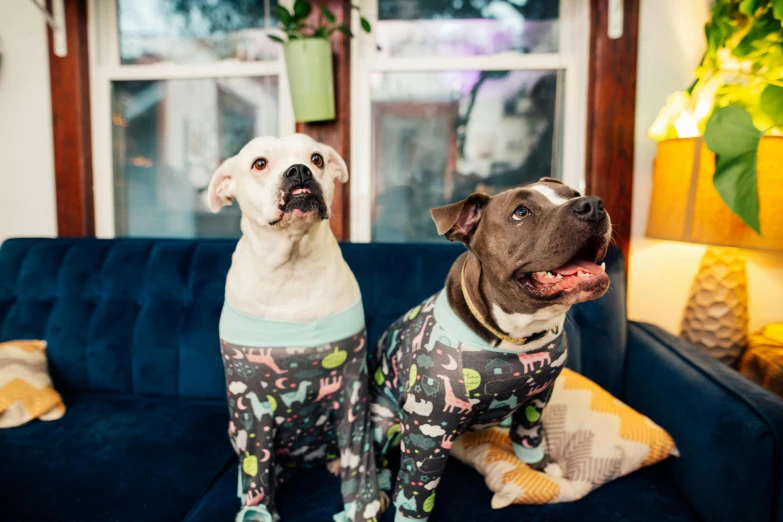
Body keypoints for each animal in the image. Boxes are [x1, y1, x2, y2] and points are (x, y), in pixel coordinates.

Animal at [208, 134, 380, 520]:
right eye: (259, 163)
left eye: (317, 158)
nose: (299, 170)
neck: (293, 266)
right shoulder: (250, 405)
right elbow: (256, 472)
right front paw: (258, 508)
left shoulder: (352, 389)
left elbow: (358, 458)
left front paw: (363, 507)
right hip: (234, 426)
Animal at [370, 177, 616, 516]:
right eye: (521, 212)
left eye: (573, 194)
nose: (592, 204)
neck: (519, 336)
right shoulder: (429, 428)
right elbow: (416, 490)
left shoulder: (539, 398)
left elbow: (528, 434)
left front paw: (539, 465)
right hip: (381, 420)